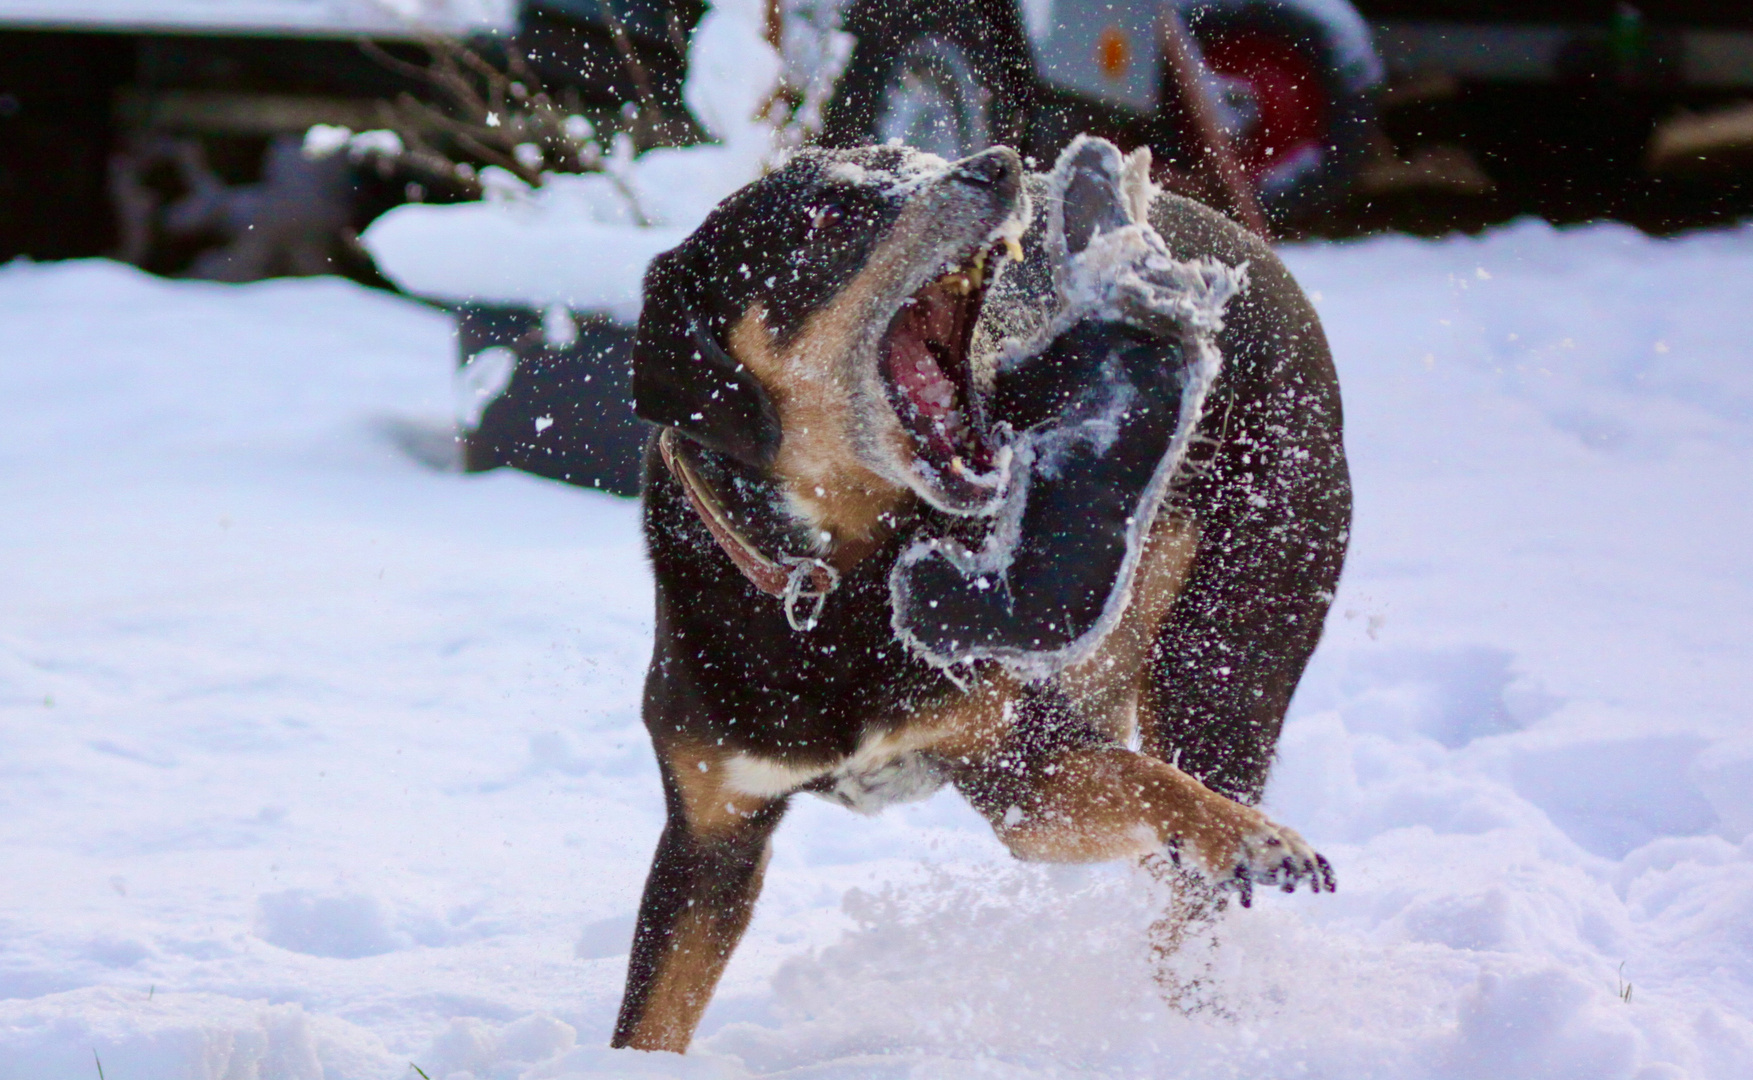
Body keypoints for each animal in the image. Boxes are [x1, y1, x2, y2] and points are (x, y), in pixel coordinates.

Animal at [610, 139, 1346, 1051]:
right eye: (821, 216)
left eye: (900, 154)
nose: (993, 164)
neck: (840, 580)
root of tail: (1252, 249)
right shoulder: (712, 824)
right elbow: (651, 1014)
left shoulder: (1014, 759)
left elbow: (1154, 787)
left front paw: (1252, 839)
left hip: (1225, 656)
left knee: (1187, 869)